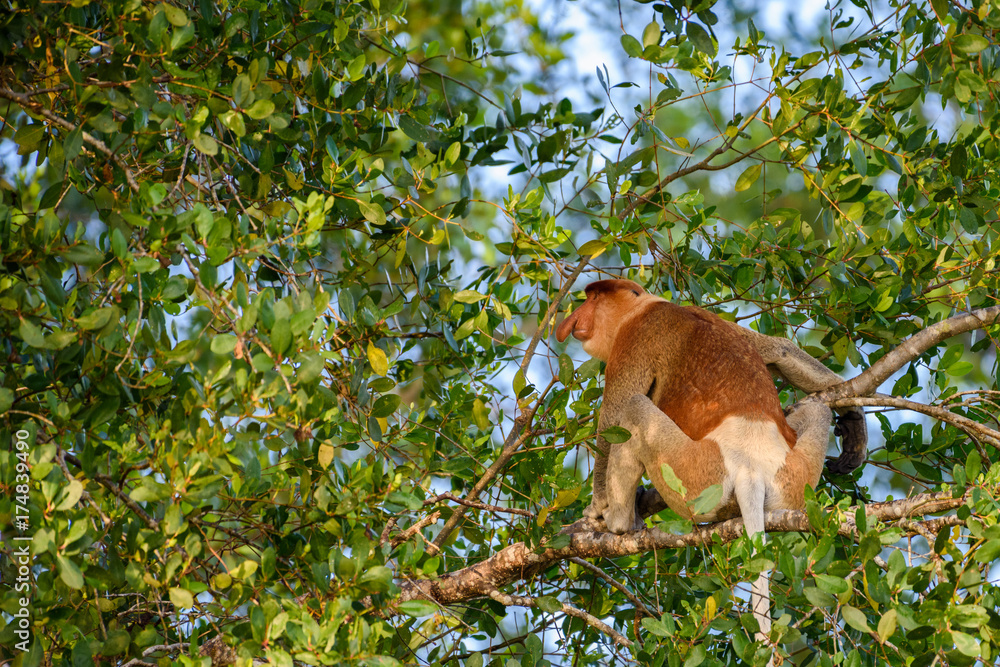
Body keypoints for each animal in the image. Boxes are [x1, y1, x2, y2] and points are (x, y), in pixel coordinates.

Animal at [555, 278, 867, 649]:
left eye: (592, 298)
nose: (573, 319)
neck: (645, 306)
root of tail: (750, 469)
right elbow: (779, 351)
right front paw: (855, 423)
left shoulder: (636, 337)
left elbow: (612, 421)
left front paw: (595, 511)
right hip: (795, 477)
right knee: (816, 408)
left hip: (693, 476)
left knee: (633, 407)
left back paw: (618, 522)